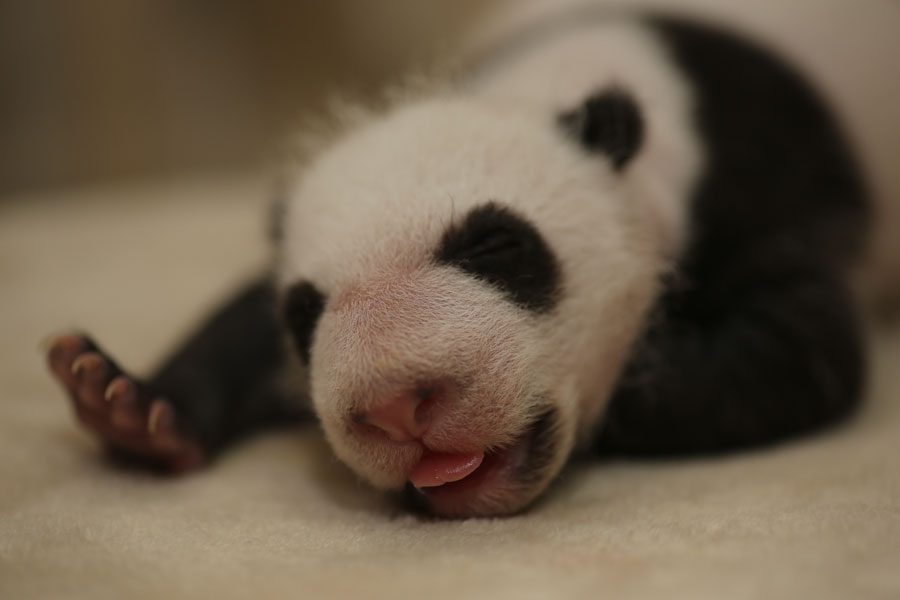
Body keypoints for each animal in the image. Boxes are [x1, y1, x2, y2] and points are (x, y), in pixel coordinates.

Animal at [45, 15, 868, 520]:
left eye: (495, 247)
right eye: (305, 313)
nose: (394, 407)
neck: (544, 84)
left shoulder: (752, 191)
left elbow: (796, 352)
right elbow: (242, 320)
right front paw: (125, 405)